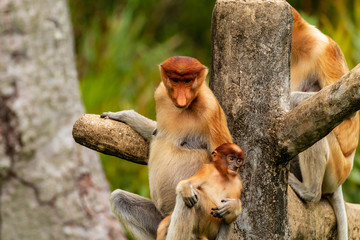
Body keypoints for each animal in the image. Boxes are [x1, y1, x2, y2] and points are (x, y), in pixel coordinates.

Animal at [100, 56, 233, 240]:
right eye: (175, 80)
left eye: (188, 81)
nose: (181, 99)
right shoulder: (161, 94)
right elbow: (154, 131)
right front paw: (123, 115)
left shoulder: (211, 108)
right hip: (159, 218)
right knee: (118, 198)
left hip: (209, 217)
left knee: (187, 200)